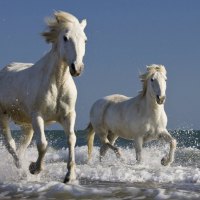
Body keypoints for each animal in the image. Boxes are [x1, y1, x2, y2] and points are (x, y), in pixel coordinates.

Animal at [0, 10, 87, 183]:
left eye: (85, 39)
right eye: (65, 38)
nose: (77, 68)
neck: (57, 83)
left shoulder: (69, 115)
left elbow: (71, 139)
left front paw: (70, 175)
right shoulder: (37, 116)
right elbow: (42, 144)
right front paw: (34, 168)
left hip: (27, 126)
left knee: (21, 147)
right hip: (4, 117)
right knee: (10, 145)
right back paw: (23, 171)